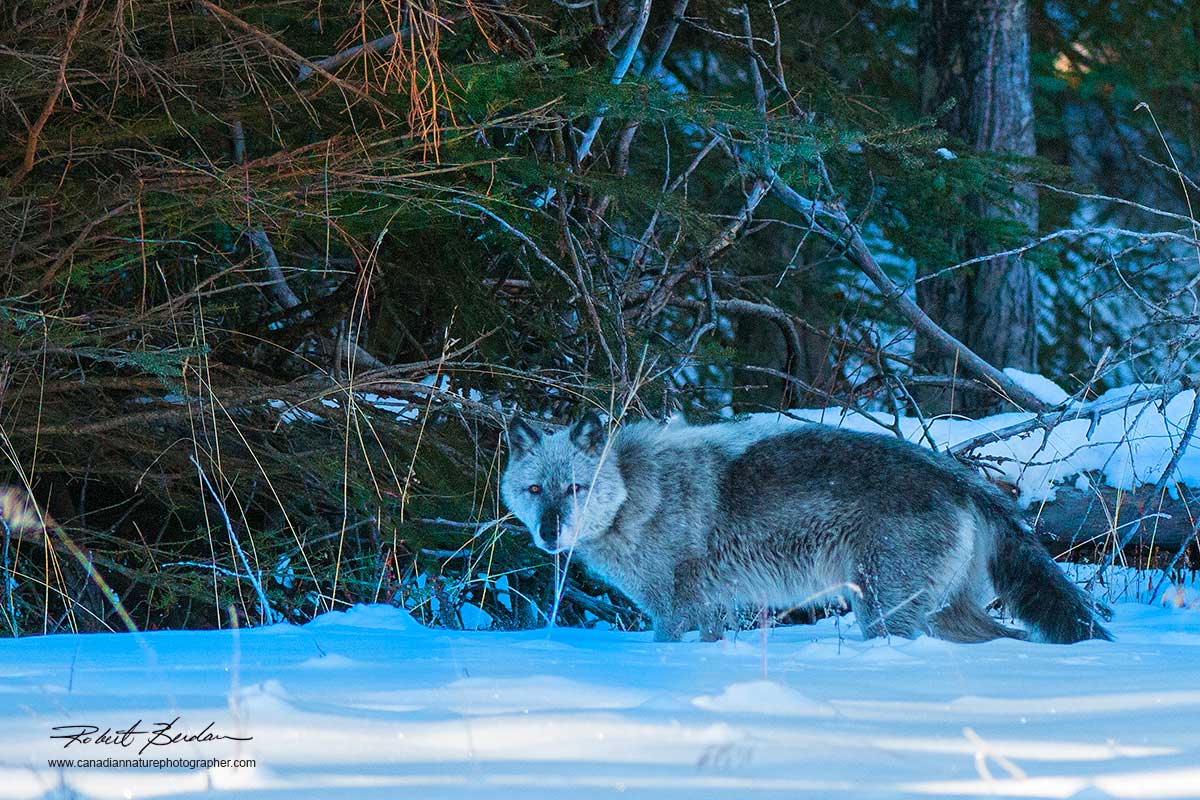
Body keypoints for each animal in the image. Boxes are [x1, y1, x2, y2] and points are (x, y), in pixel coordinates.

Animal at [501, 412, 1112, 644]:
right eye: (535, 491)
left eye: (573, 489)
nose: (550, 533)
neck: (634, 493)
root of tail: (959, 477)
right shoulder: (711, 612)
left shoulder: (675, 614)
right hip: (945, 614)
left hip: (881, 612)